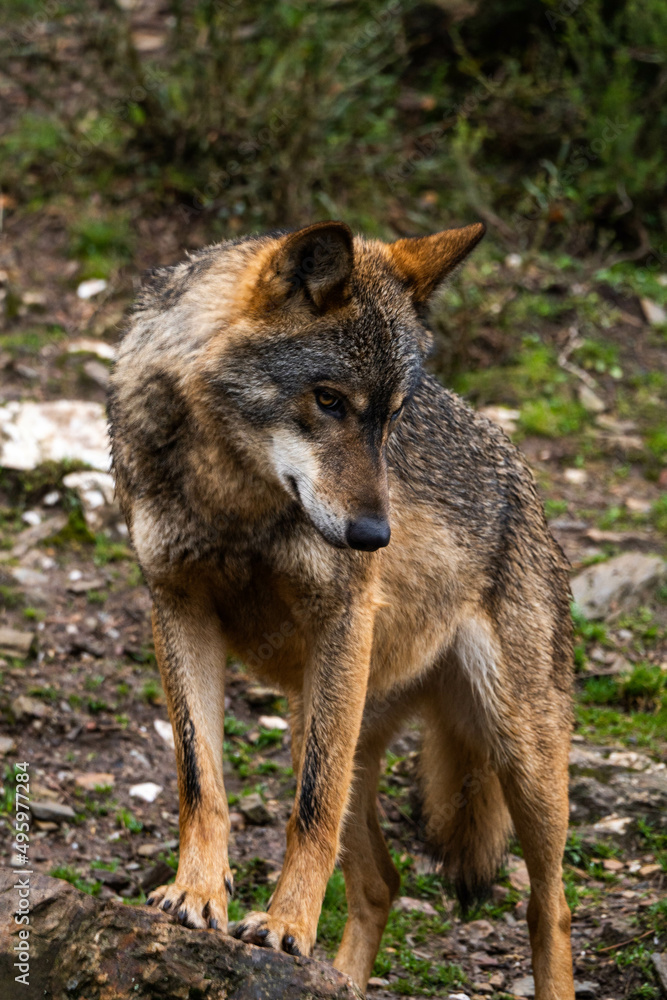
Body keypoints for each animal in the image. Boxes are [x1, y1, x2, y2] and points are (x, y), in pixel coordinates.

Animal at [108, 221, 576, 1000]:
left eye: (394, 416)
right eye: (327, 399)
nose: (374, 538)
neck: (234, 497)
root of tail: (523, 480)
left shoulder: (341, 618)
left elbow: (311, 811)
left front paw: (284, 926)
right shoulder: (176, 608)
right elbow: (200, 779)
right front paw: (196, 895)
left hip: (519, 754)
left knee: (551, 905)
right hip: (323, 722)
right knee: (382, 883)